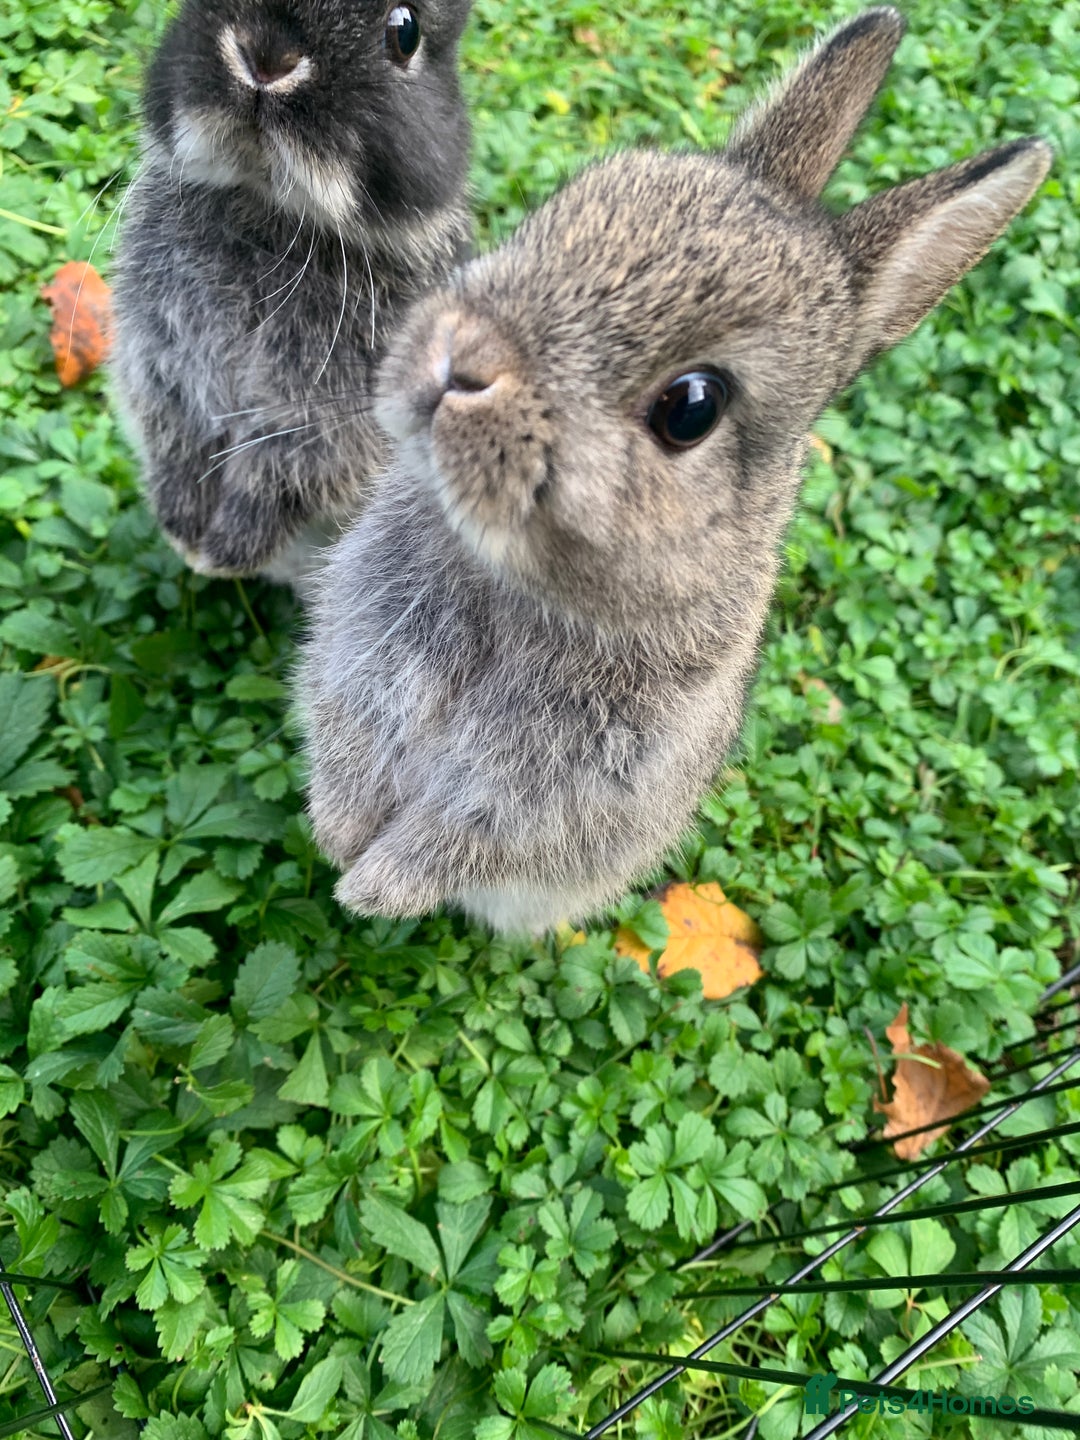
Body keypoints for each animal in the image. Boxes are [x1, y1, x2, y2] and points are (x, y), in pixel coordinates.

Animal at [110, 0, 474, 590]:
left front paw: (221, 551)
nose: (266, 58)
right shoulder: (162, 366)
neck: (267, 208)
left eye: (406, 32)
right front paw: (185, 532)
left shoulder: (326, 423)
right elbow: (176, 436)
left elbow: (286, 470)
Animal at [298, 7, 1051, 935]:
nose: (463, 365)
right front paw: (336, 837)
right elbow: (349, 746)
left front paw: (371, 888)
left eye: (691, 407)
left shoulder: (565, 785)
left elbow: (467, 835)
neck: (512, 580)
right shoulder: (360, 662)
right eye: (562, 214)